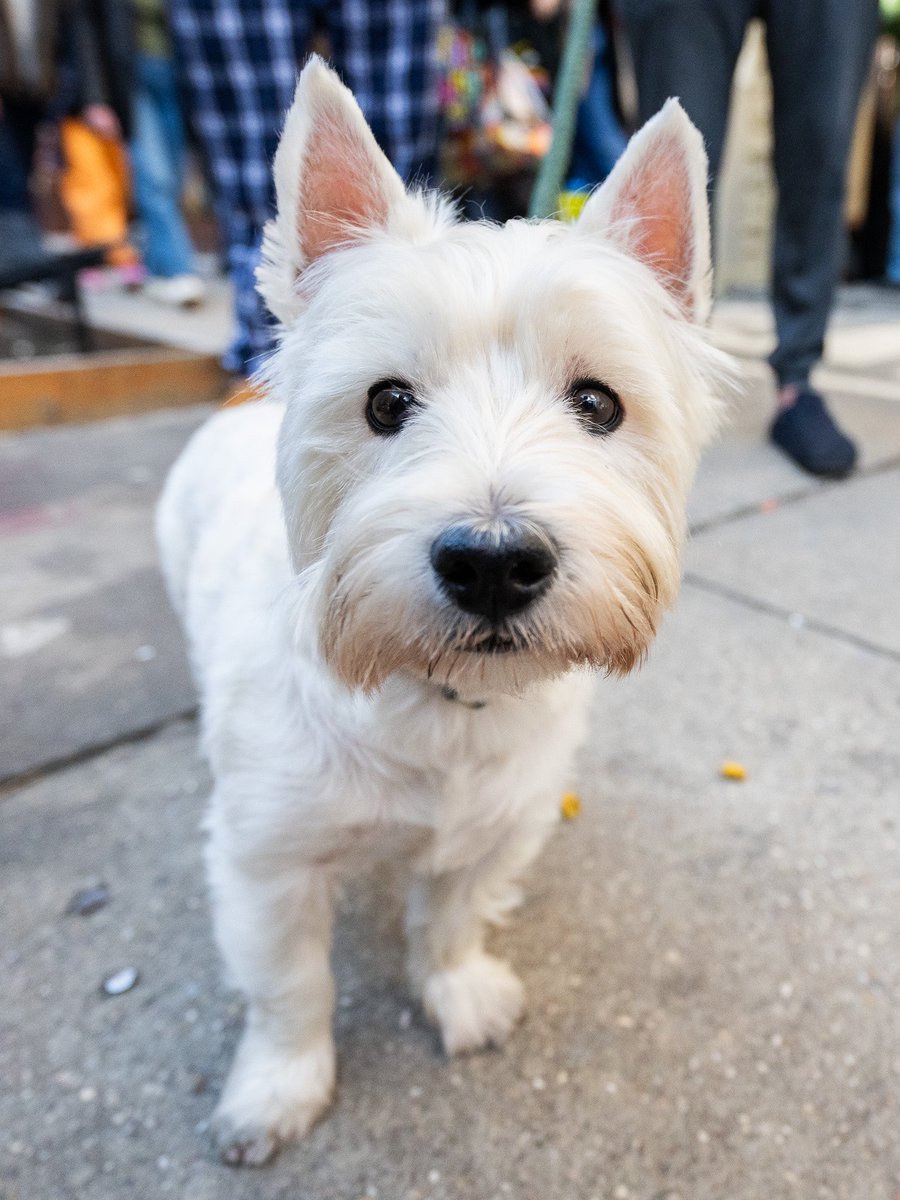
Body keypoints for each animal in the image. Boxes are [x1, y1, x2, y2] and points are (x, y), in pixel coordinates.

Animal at [158, 54, 729, 1161]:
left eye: (598, 403)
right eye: (385, 403)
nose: (494, 564)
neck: (438, 700)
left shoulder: (504, 822)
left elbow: (453, 915)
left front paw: (459, 995)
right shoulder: (266, 858)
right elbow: (289, 986)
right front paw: (277, 1091)